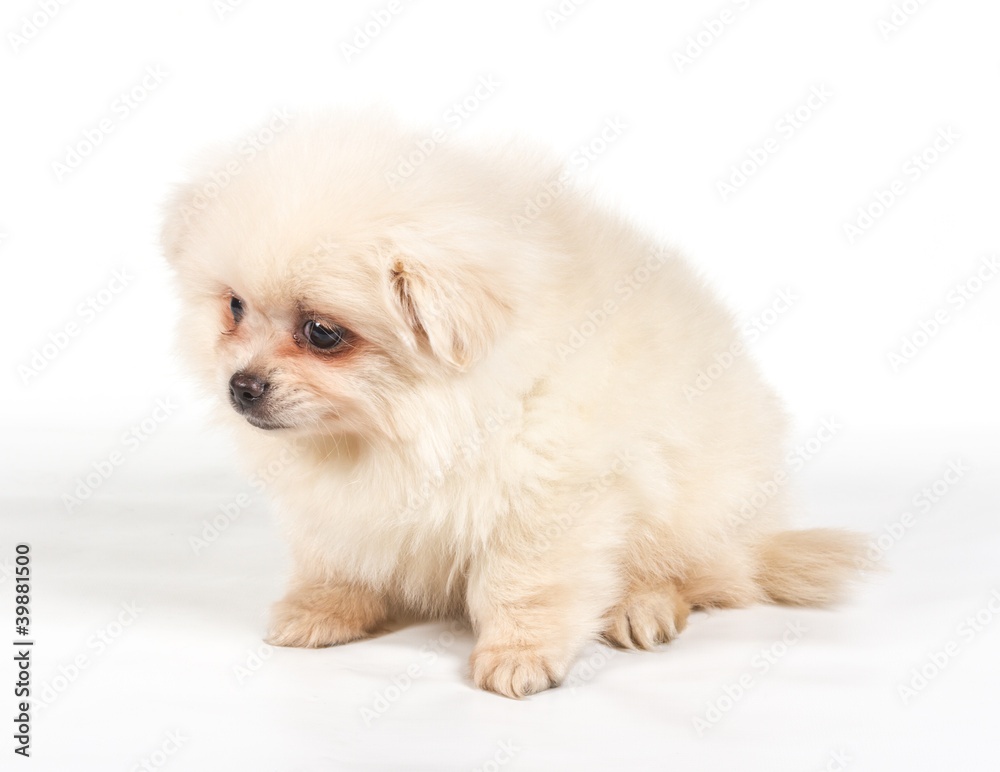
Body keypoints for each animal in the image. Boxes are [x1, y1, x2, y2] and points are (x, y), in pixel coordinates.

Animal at [160, 110, 864, 700]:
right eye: (234, 308)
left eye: (322, 333)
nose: (241, 385)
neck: (401, 428)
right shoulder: (341, 507)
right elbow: (337, 560)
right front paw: (321, 611)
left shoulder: (546, 495)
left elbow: (521, 583)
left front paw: (519, 656)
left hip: (694, 498)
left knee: (711, 574)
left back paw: (643, 605)